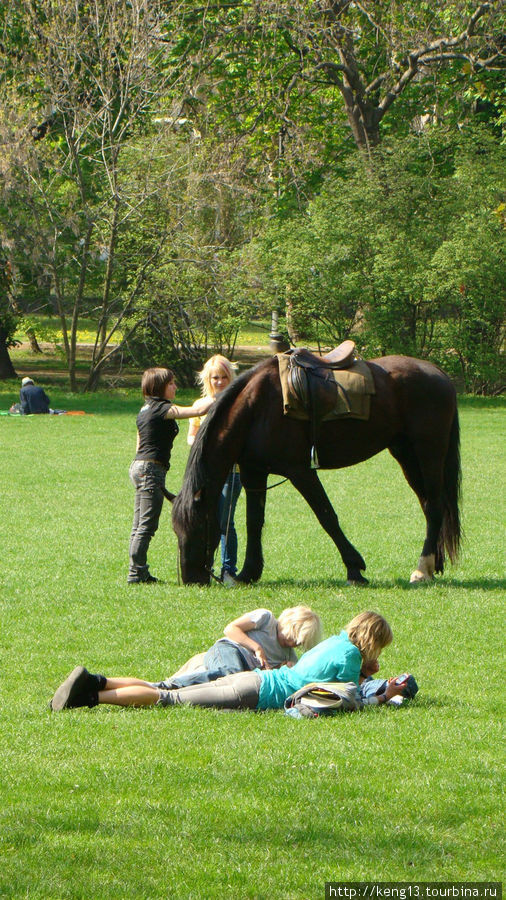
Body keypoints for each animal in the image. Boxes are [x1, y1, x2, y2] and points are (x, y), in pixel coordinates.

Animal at [172, 356, 460, 588]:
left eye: (199, 527)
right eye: (176, 531)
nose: (191, 579)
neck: (255, 409)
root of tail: (437, 373)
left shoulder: (301, 472)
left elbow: (327, 517)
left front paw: (354, 568)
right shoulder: (254, 472)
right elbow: (254, 522)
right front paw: (248, 573)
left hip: (429, 453)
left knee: (434, 506)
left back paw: (422, 569)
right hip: (406, 455)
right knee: (429, 507)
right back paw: (433, 564)